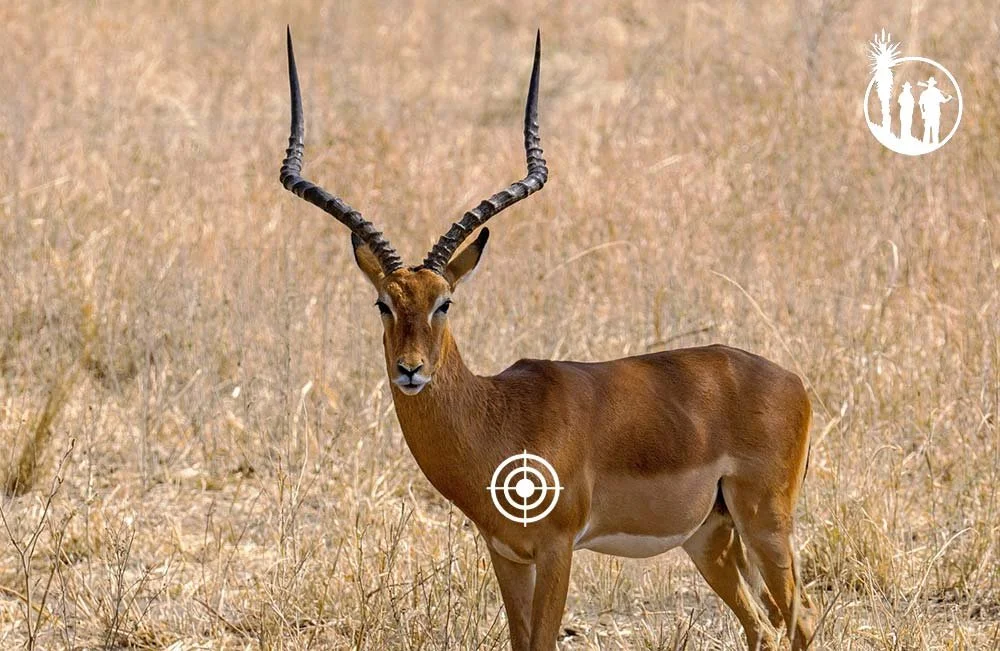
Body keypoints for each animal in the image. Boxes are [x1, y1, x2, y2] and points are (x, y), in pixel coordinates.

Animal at [279, 27, 816, 651]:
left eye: (445, 302)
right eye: (383, 304)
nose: (410, 370)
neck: (499, 415)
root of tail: (791, 380)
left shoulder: (558, 547)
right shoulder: (507, 554)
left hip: (764, 524)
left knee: (800, 619)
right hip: (710, 538)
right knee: (763, 628)